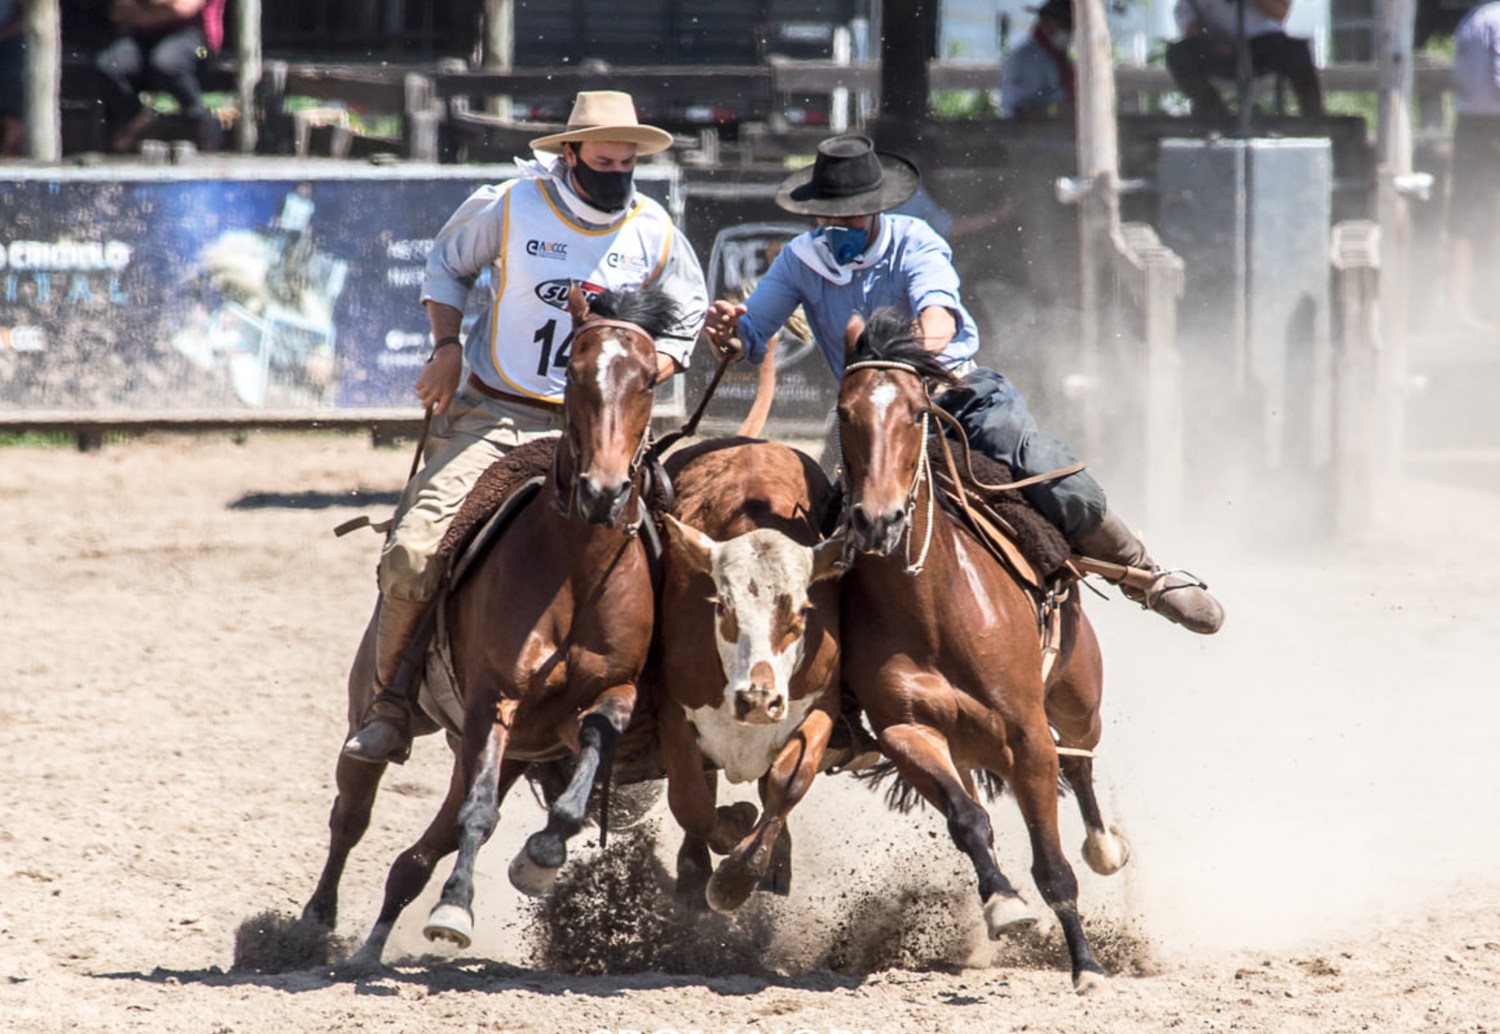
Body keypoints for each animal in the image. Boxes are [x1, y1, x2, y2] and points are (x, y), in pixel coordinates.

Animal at [303, 280, 675, 966]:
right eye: (574, 370)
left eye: (649, 379)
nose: (603, 491)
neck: (576, 569)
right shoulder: (492, 697)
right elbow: (476, 816)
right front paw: (455, 910)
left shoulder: (611, 694)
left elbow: (586, 762)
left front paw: (541, 857)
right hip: (378, 703)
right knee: (353, 809)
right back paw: (313, 922)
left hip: (507, 753)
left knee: (417, 854)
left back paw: (371, 944)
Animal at [654, 435, 852, 912]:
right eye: (722, 606)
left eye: (802, 611)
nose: (758, 700)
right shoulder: (673, 702)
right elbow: (691, 800)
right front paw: (730, 832)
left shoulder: (823, 701)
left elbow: (787, 783)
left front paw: (738, 878)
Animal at [834, 309, 1128, 990]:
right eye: (843, 411)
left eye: (916, 411)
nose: (878, 519)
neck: (932, 610)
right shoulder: (907, 732)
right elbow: (968, 821)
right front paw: (1003, 904)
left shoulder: (1026, 732)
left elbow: (1053, 866)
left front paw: (1086, 966)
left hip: (1077, 696)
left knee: (1082, 762)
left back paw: (1105, 846)